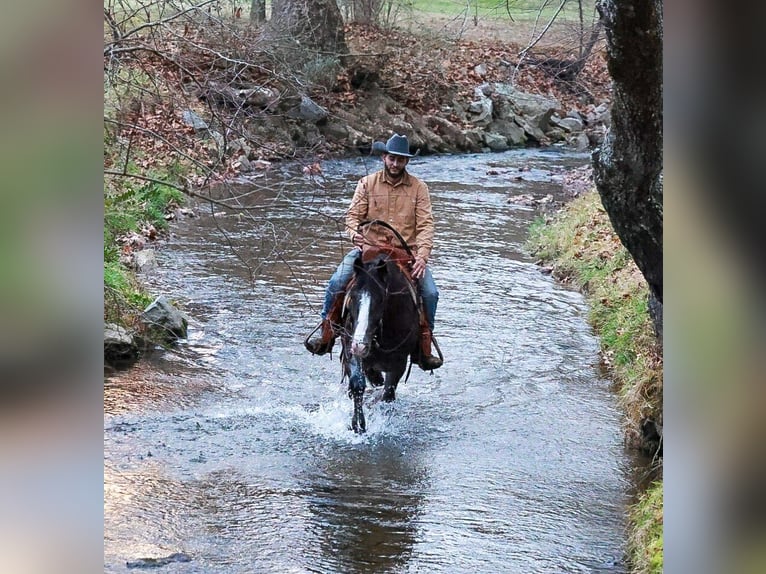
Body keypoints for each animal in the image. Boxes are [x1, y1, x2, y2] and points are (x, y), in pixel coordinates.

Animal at [340, 245, 421, 434]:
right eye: (353, 296)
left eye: (381, 299)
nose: (360, 345)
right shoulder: (350, 349)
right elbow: (357, 385)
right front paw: (358, 425)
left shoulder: (399, 363)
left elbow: (387, 394)